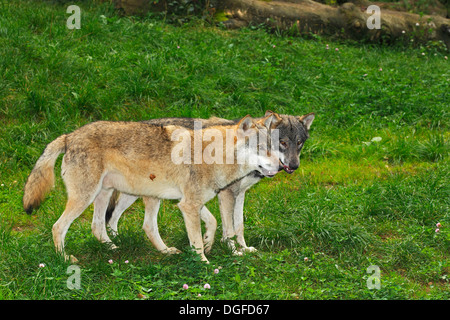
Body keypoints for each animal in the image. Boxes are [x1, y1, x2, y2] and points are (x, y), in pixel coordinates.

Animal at [23, 112, 282, 262]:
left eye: (275, 146)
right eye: (261, 148)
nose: (281, 166)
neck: (214, 155)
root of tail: (69, 136)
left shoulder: (187, 203)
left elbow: (214, 223)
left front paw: (209, 243)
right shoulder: (189, 205)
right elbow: (199, 239)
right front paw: (205, 265)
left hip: (126, 195)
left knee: (114, 226)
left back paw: (136, 250)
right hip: (87, 197)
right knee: (58, 227)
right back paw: (65, 259)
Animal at [96, 111, 314, 256]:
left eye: (299, 143)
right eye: (282, 143)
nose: (293, 166)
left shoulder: (239, 194)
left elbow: (239, 225)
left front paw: (244, 247)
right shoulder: (225, 194)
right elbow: (228, 227)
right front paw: (233, 251)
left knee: (113, 216)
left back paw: (116, 240)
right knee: (113, 215)